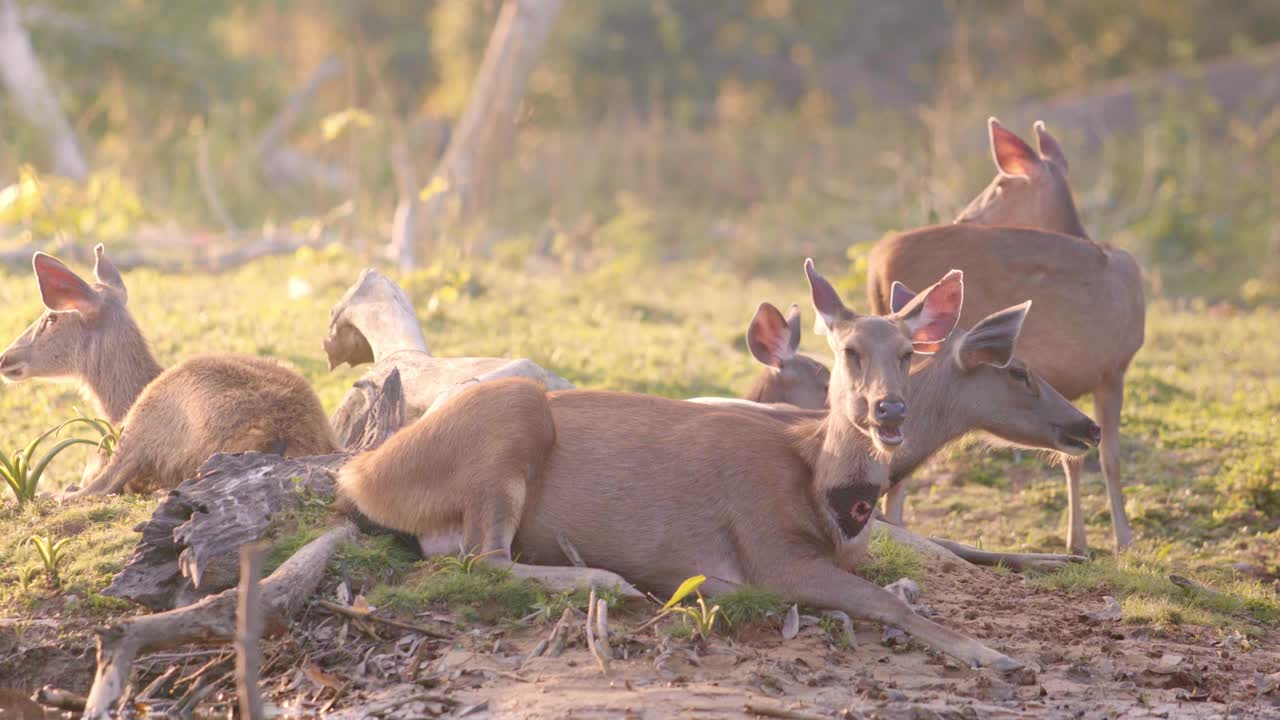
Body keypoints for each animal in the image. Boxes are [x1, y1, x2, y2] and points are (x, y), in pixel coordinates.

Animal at [0, 244, 340, 491]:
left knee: (93, 487)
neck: (119, 403)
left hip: (143, 424)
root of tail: (283, 436)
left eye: (50, 318)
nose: (5, 358)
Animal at [335, 260, 1034, 671]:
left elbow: (898, 588)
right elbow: (888, 602)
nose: (889, 410)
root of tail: (361, 473)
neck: (824, 496)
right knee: (484, 557)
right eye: (850, 350)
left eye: (910, 353)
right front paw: (990, 654)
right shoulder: (767, 548)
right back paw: (609, 581)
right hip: (509, 420)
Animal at [865, 119, 1146, 556]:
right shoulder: (1113, 367)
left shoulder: (1091, 375)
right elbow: (1103, 457)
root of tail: (877, 265)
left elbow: (1081, 455)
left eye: (999, 184)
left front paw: (1081, 542)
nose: (964, 217)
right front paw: (1118, 540)